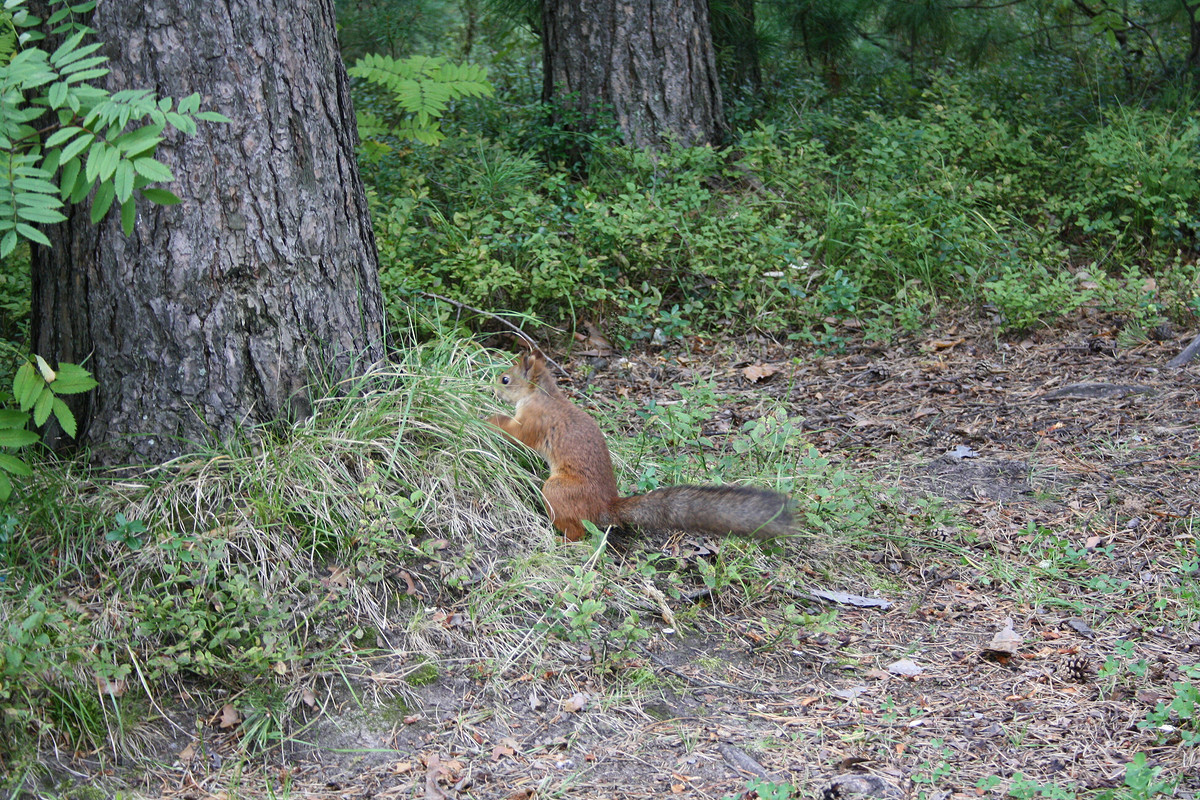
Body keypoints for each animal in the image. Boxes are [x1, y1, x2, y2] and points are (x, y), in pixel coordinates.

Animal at [482, 352, 792, 544]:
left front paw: (487, 420)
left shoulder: (535, 422)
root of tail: (606, 506)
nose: (490, 389)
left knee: (578, 531)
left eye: (505, 379)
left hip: (558, 490)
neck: (542, 396)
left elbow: (516, 434)